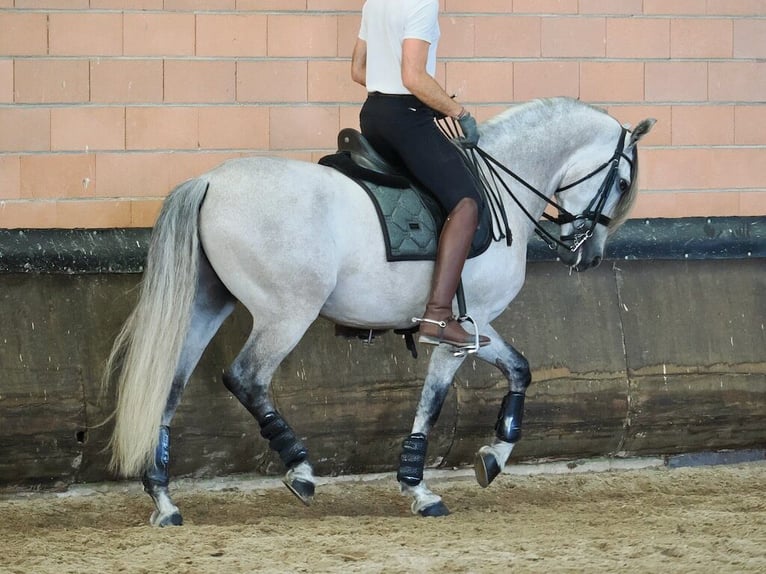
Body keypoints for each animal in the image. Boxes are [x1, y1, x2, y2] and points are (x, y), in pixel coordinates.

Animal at [104, 97, 654, 525]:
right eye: (623, 181)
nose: (589, 255)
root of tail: (211, 181)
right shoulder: (454, 333)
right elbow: (432, 403)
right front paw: (419, 486)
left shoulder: (478, 327)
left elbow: (519, 369)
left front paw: (494, 457)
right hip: (287, 313)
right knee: (246, 377)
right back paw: (300, 470)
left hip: (206, 306)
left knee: (170, 385)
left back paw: (164, 499)